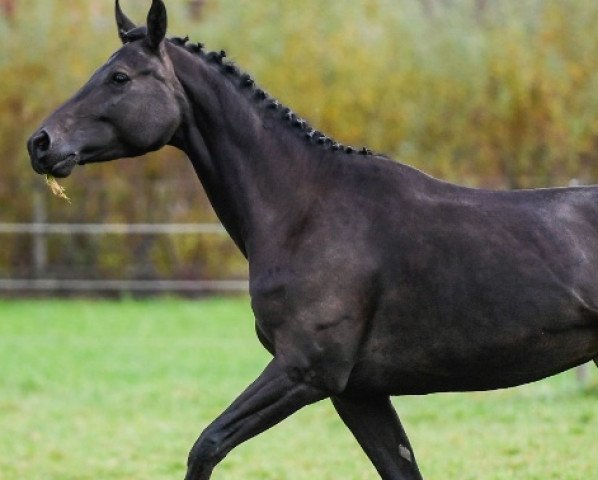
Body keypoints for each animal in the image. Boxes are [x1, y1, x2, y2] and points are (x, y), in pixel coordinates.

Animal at [27, 1, 598, 478]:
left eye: (119, 76)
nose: (40, 143)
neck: (304, 211)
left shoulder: (305, 372)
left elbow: (205, 447)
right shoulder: (358, 393)